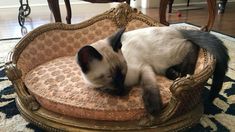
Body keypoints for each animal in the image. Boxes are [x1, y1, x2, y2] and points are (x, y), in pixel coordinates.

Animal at [76, 26, 229, 125]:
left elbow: (149, 86)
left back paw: (185, 72)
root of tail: (176, 28)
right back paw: (175, 73)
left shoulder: (144, 68)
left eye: (123, 72)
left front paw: (154, 108)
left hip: (164, 57)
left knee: (191, 45)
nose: (121, 89)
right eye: (110, 77)